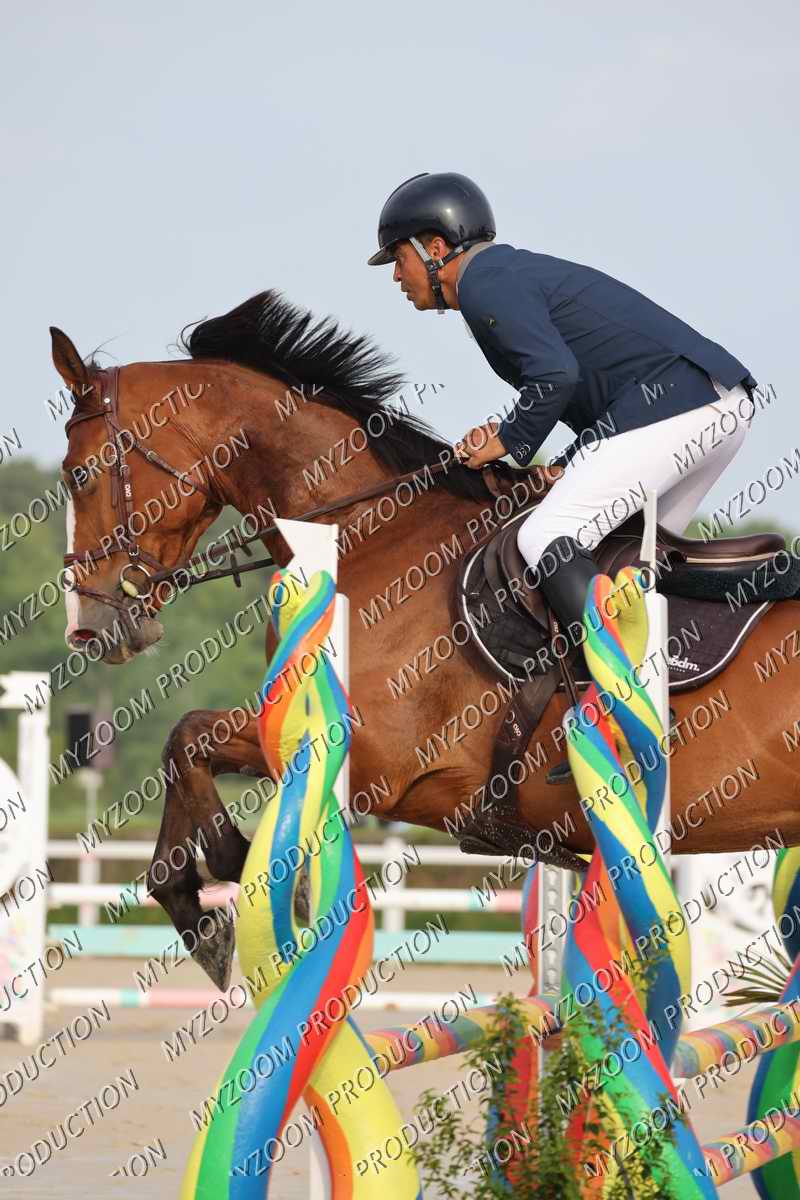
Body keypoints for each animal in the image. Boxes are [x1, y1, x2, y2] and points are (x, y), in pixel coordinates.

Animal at [52, 290, 800, 988]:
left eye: (79, 474)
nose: (88, 626)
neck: (370, 531)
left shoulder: (370, 761)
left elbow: (192, 740)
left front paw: (239, 874)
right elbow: (185, 741)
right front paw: (192, 905)